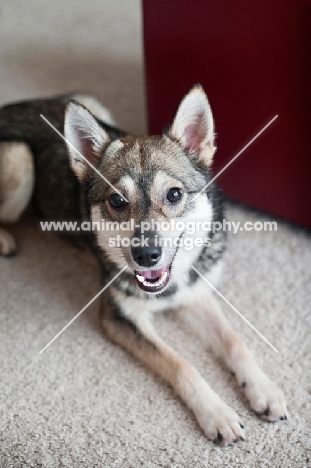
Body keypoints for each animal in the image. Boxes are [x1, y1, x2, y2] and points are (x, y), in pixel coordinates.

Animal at [0, 86, 288, 444]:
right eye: (117, 201)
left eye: (175, 194)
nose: (146, 255)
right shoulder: (121, 318)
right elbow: (181, 364)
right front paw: (216, 413)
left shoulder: (195, 293)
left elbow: (235, 342)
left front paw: (263, 388)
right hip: (19, 160)